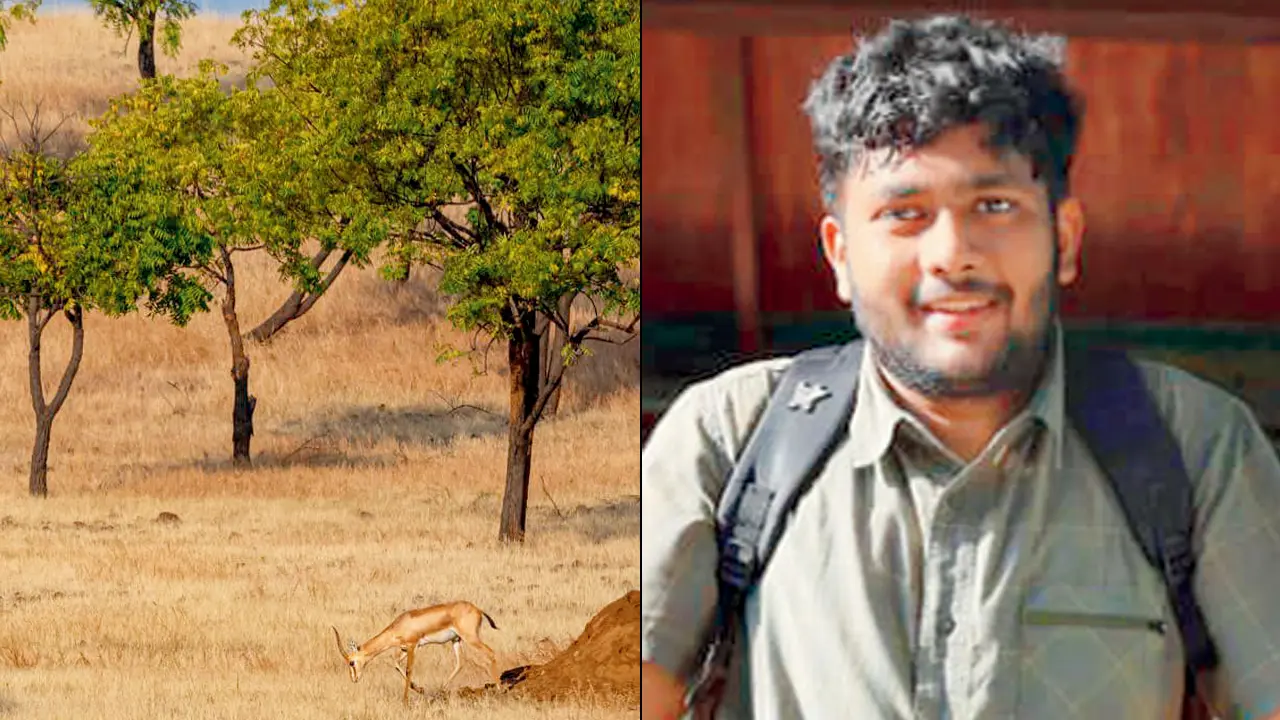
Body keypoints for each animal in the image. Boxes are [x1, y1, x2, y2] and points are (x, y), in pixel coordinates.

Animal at [332, 600, 501, 705]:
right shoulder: (405, 648)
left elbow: (408, 669)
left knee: (491, 653)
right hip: (456, 640)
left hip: (470, 638)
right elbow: (395, 663)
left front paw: (405, 701)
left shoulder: (412, 646)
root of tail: (478, 609)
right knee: (461, 663)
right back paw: (439, 691)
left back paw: (500, 690)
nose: (354, 679)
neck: (400, 625)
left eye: (351, 662)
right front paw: (420, 689)